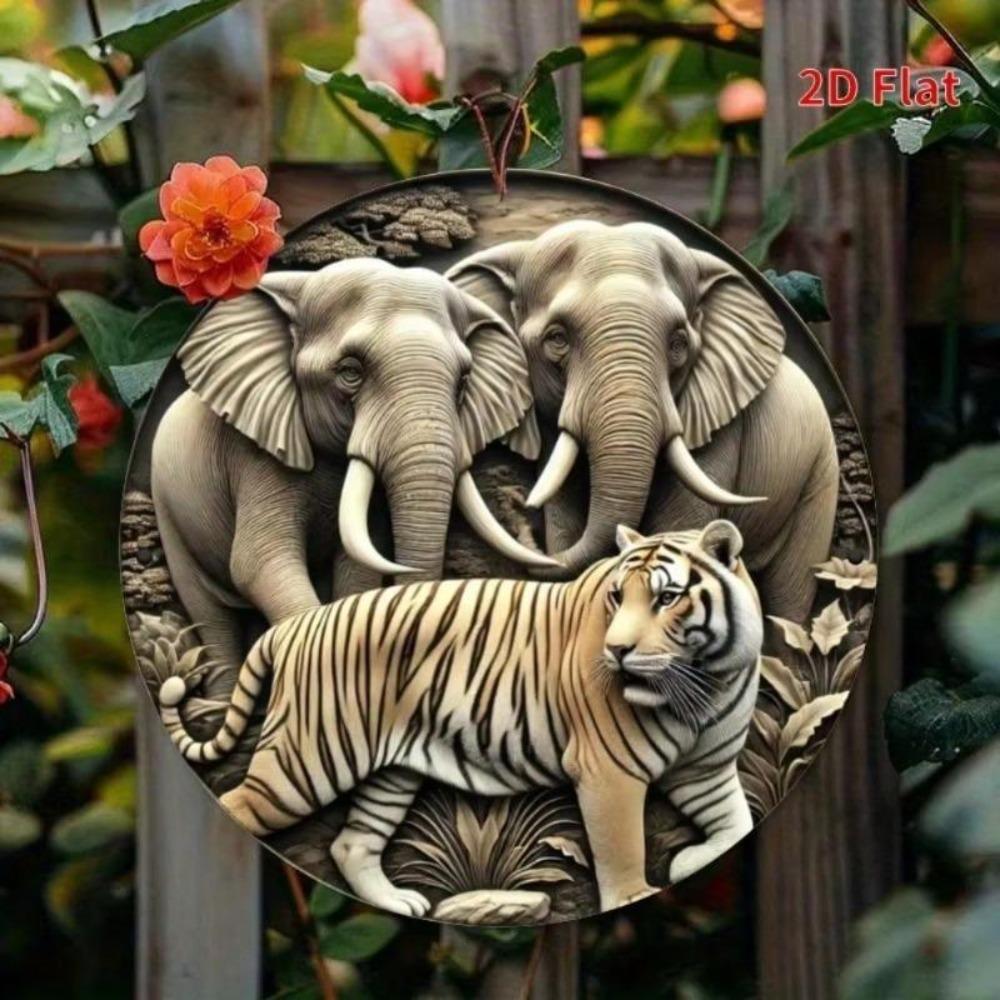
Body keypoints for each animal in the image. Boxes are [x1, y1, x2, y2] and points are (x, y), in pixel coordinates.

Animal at [151, 257, 556, 695]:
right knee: (210, 616)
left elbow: (357, 567)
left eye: (464, 381)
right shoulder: (257, 456)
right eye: (349, 371)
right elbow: (258, 563)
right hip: (169, 512)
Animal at [157, 520, 762, 918]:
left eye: (667, 598)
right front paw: (636, 895)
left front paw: (691, 862)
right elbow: (622, 850)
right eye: (617, 597)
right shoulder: (609, 773)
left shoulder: (704, 770)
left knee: (352, 843)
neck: (707, 682)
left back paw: (400, 901)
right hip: (305, 761)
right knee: (238, 805)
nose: (615, 651)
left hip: (391, 771)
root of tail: (291, 627)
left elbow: (737, 823)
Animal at [447, 220, 839, 622]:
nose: (514, 502)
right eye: (557, 338)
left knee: (790, 591)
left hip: (819, 476)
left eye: (678, 343)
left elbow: (680, 528)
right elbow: (565, 520)